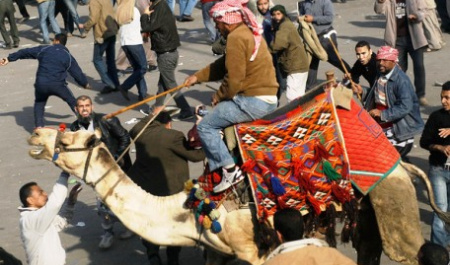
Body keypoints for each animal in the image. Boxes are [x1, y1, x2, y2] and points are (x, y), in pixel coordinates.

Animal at [29, 127, 450, 262]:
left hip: (393, 203)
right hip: (368, 221)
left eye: (66, 139)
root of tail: (405, 166)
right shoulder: (219, 250)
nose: (35, 136)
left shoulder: (253, 250)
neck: (187, 210)